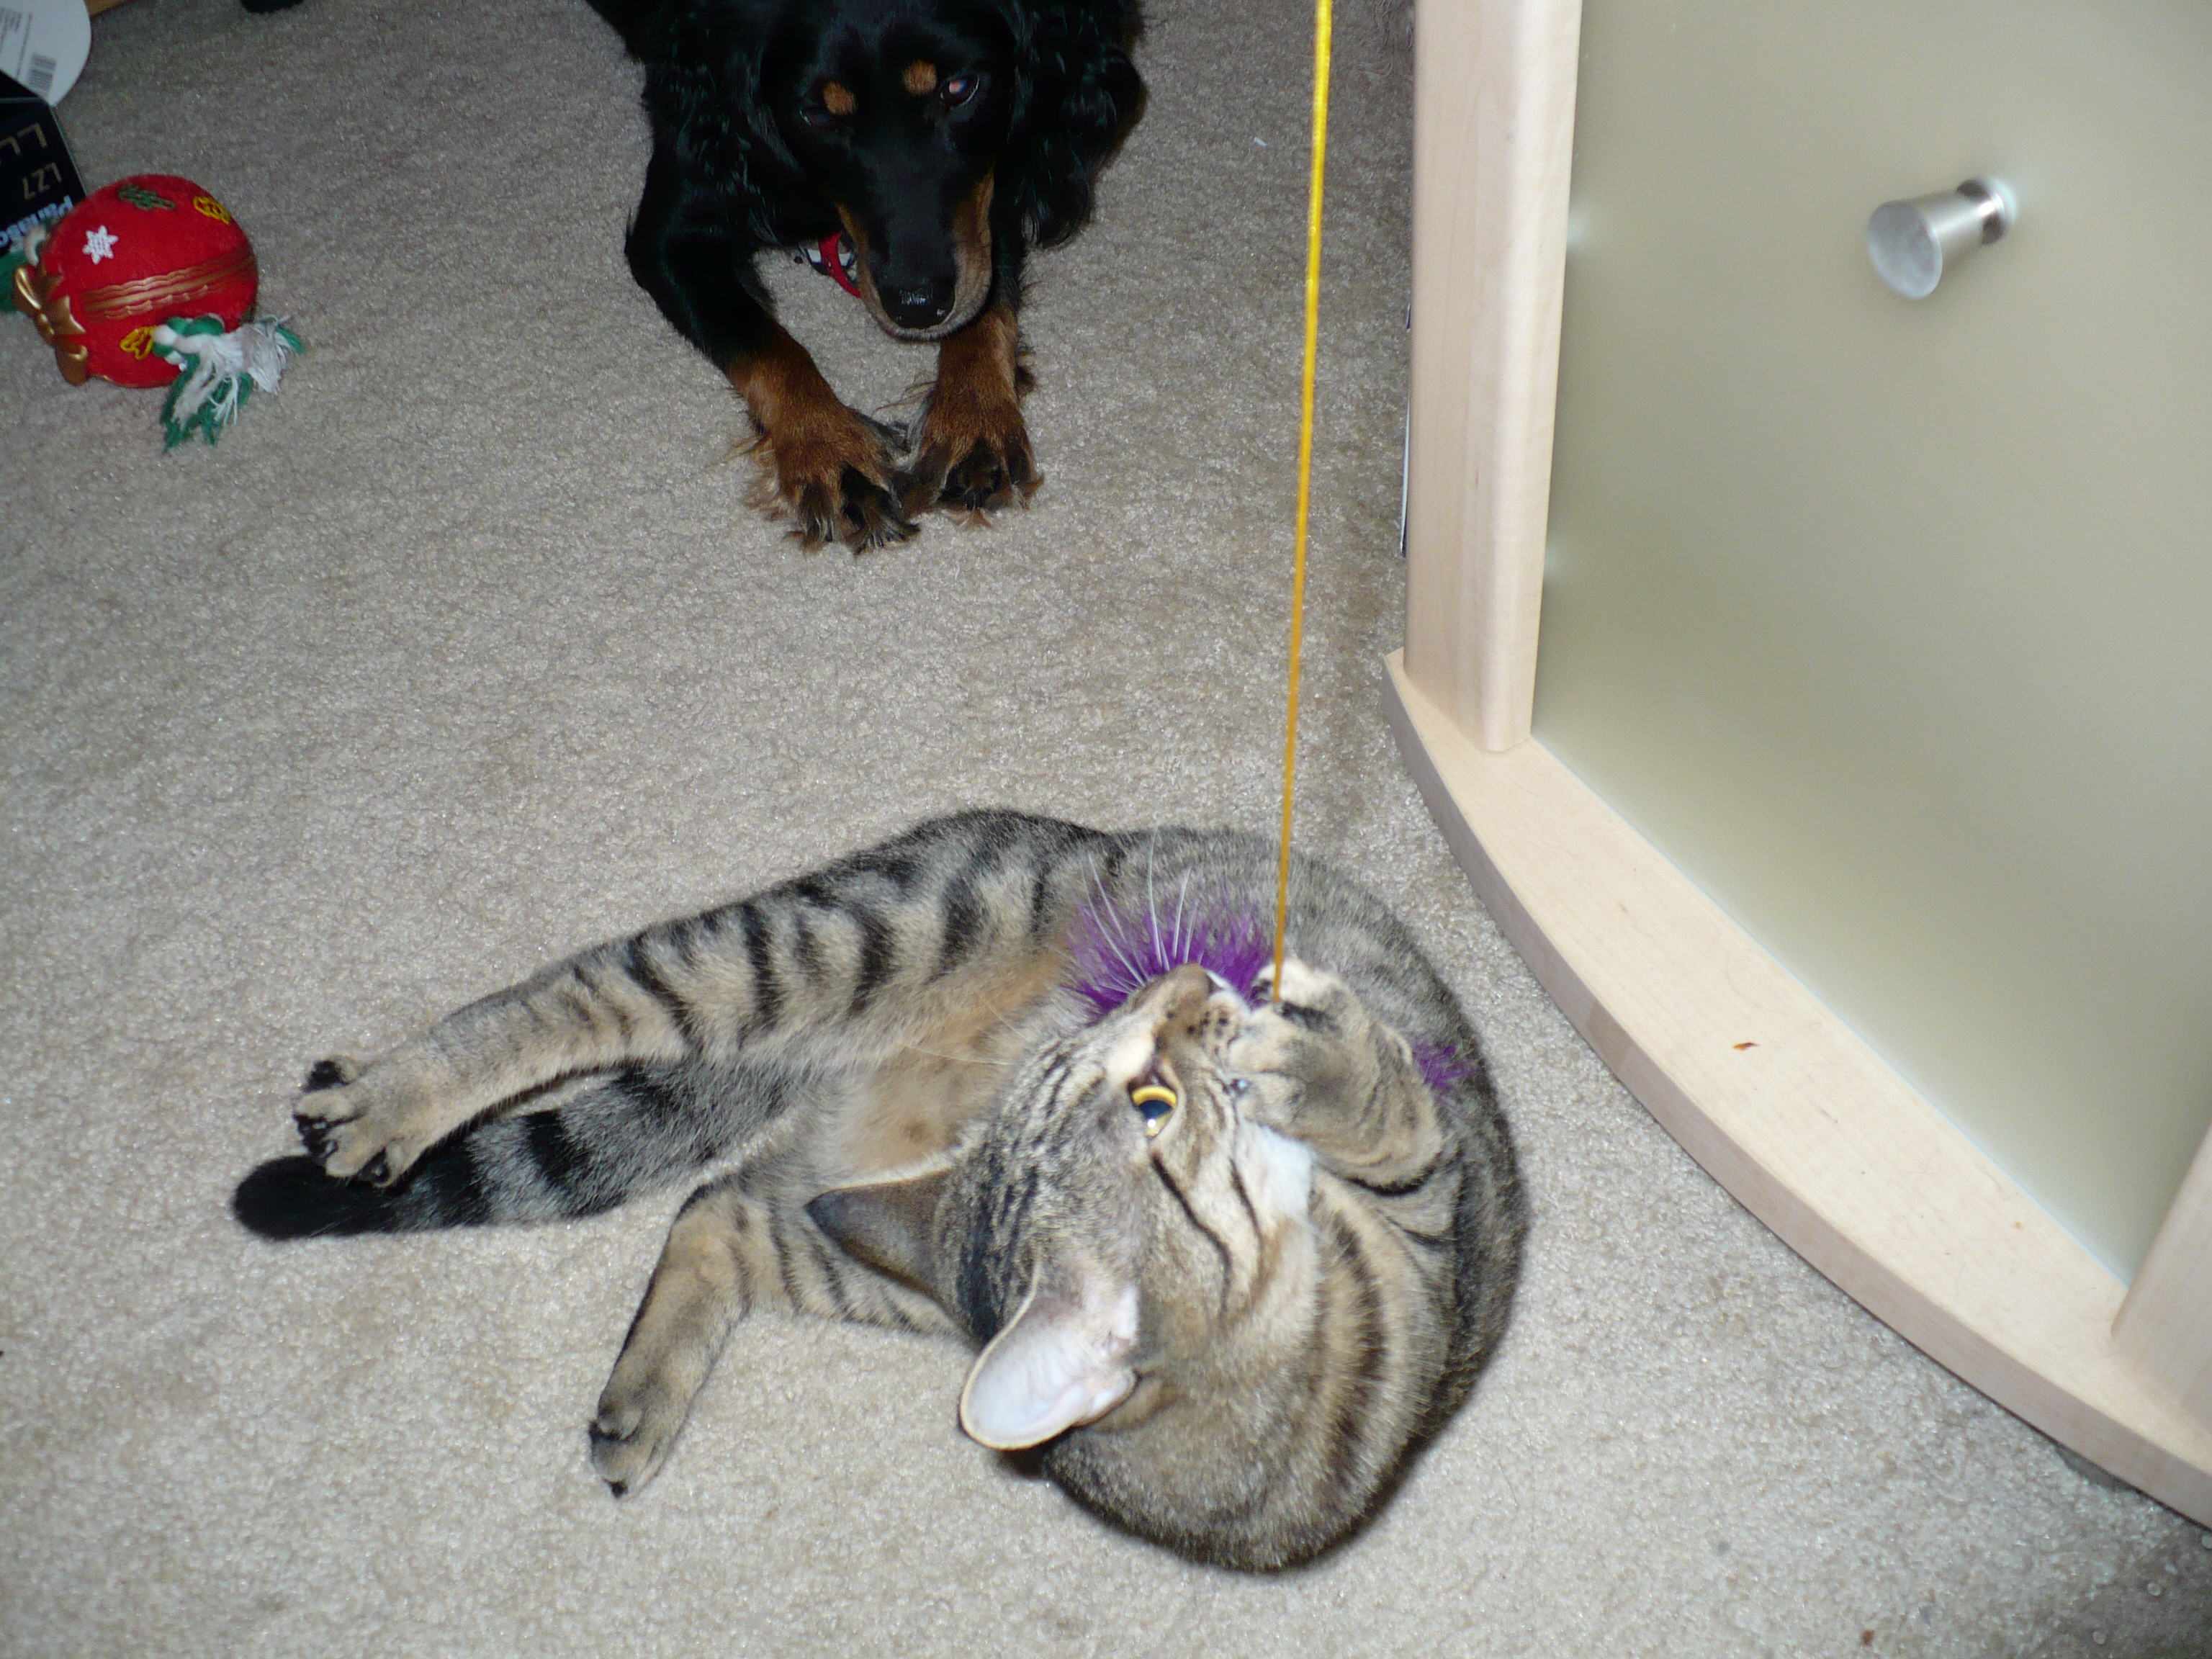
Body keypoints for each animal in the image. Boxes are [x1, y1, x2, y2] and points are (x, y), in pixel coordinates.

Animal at [238, 814, 1521, 1575]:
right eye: (1144, 1099)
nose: (1190, 978)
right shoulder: (1426, 1213)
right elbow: (1395, 1125)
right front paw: (1308, 1053)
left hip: (878, 1257)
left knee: (716, 1211)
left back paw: (643, 1399)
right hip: (845, 934)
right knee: (575, 996)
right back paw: (391, 1099)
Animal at [588, 0, 1141, 553]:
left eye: (959, 88)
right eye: (818, 115)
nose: (917, 307)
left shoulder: (994, 180)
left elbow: (984, 296)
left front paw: (975, 418)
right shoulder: (670, 232)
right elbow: (767, 347)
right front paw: (828, 451)